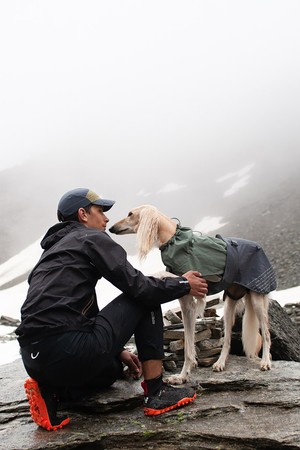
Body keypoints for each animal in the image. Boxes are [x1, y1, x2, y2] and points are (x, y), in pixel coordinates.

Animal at [108, 204, 276, 384]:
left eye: (130, 214)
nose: (111, 228)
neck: (172, 240)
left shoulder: (190, 293)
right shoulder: (185, 303)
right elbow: (188, 343)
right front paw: (183, 376)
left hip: (257, 297)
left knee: (266, 333)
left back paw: (266, 361)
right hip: (230, 300)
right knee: (227, 340)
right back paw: (220, 363)